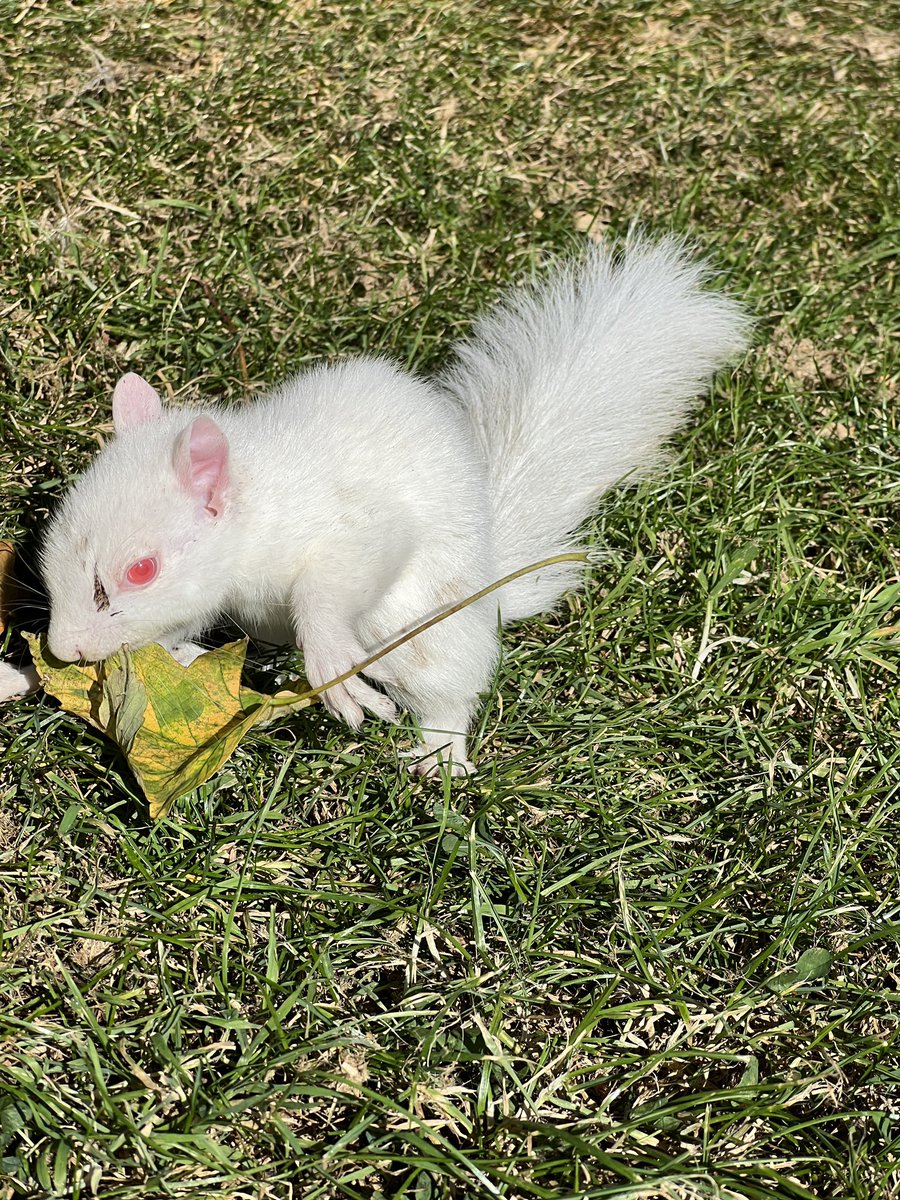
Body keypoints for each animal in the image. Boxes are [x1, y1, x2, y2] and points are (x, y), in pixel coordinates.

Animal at [4, 234, 750, 775]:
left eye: (140, 571)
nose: (65, 649)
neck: (256, 509)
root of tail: (489, 579)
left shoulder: (351, 524)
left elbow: (339, 578)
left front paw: (332, 663)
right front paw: (33, 674)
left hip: (429, 632)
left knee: (448, 691)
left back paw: (438, 753)